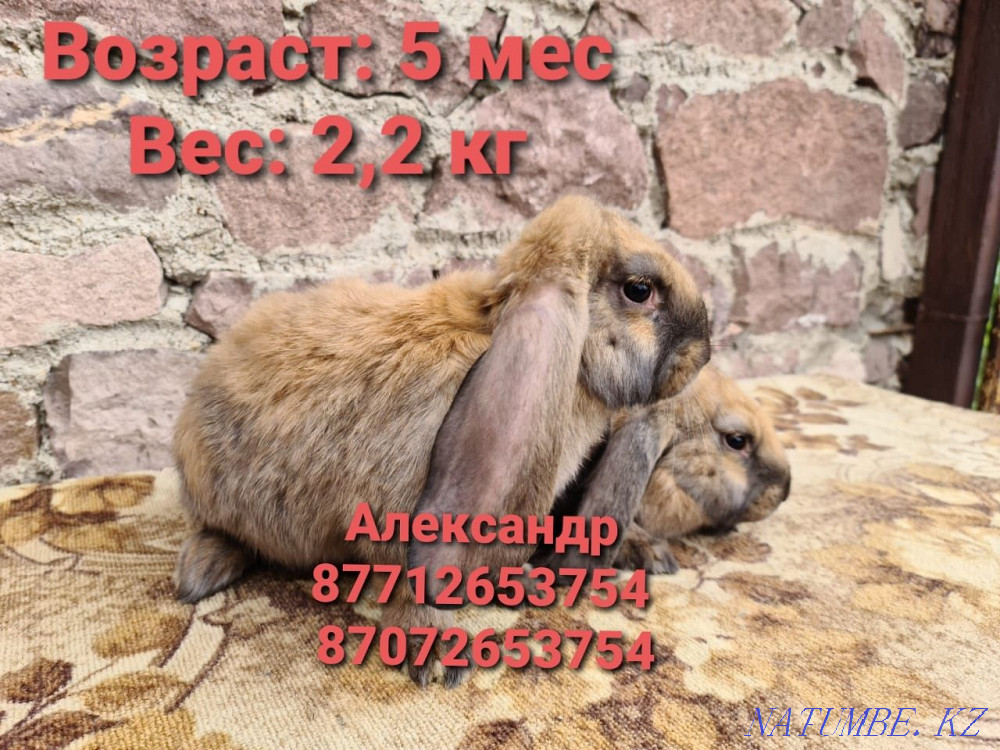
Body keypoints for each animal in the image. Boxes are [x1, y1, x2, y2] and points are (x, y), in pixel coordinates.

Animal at [172, 195, 711, 686]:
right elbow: (415, 587)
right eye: (639, 290)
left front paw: (524, 585)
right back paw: (200, 574)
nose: (703, 353)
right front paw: (437, 653)